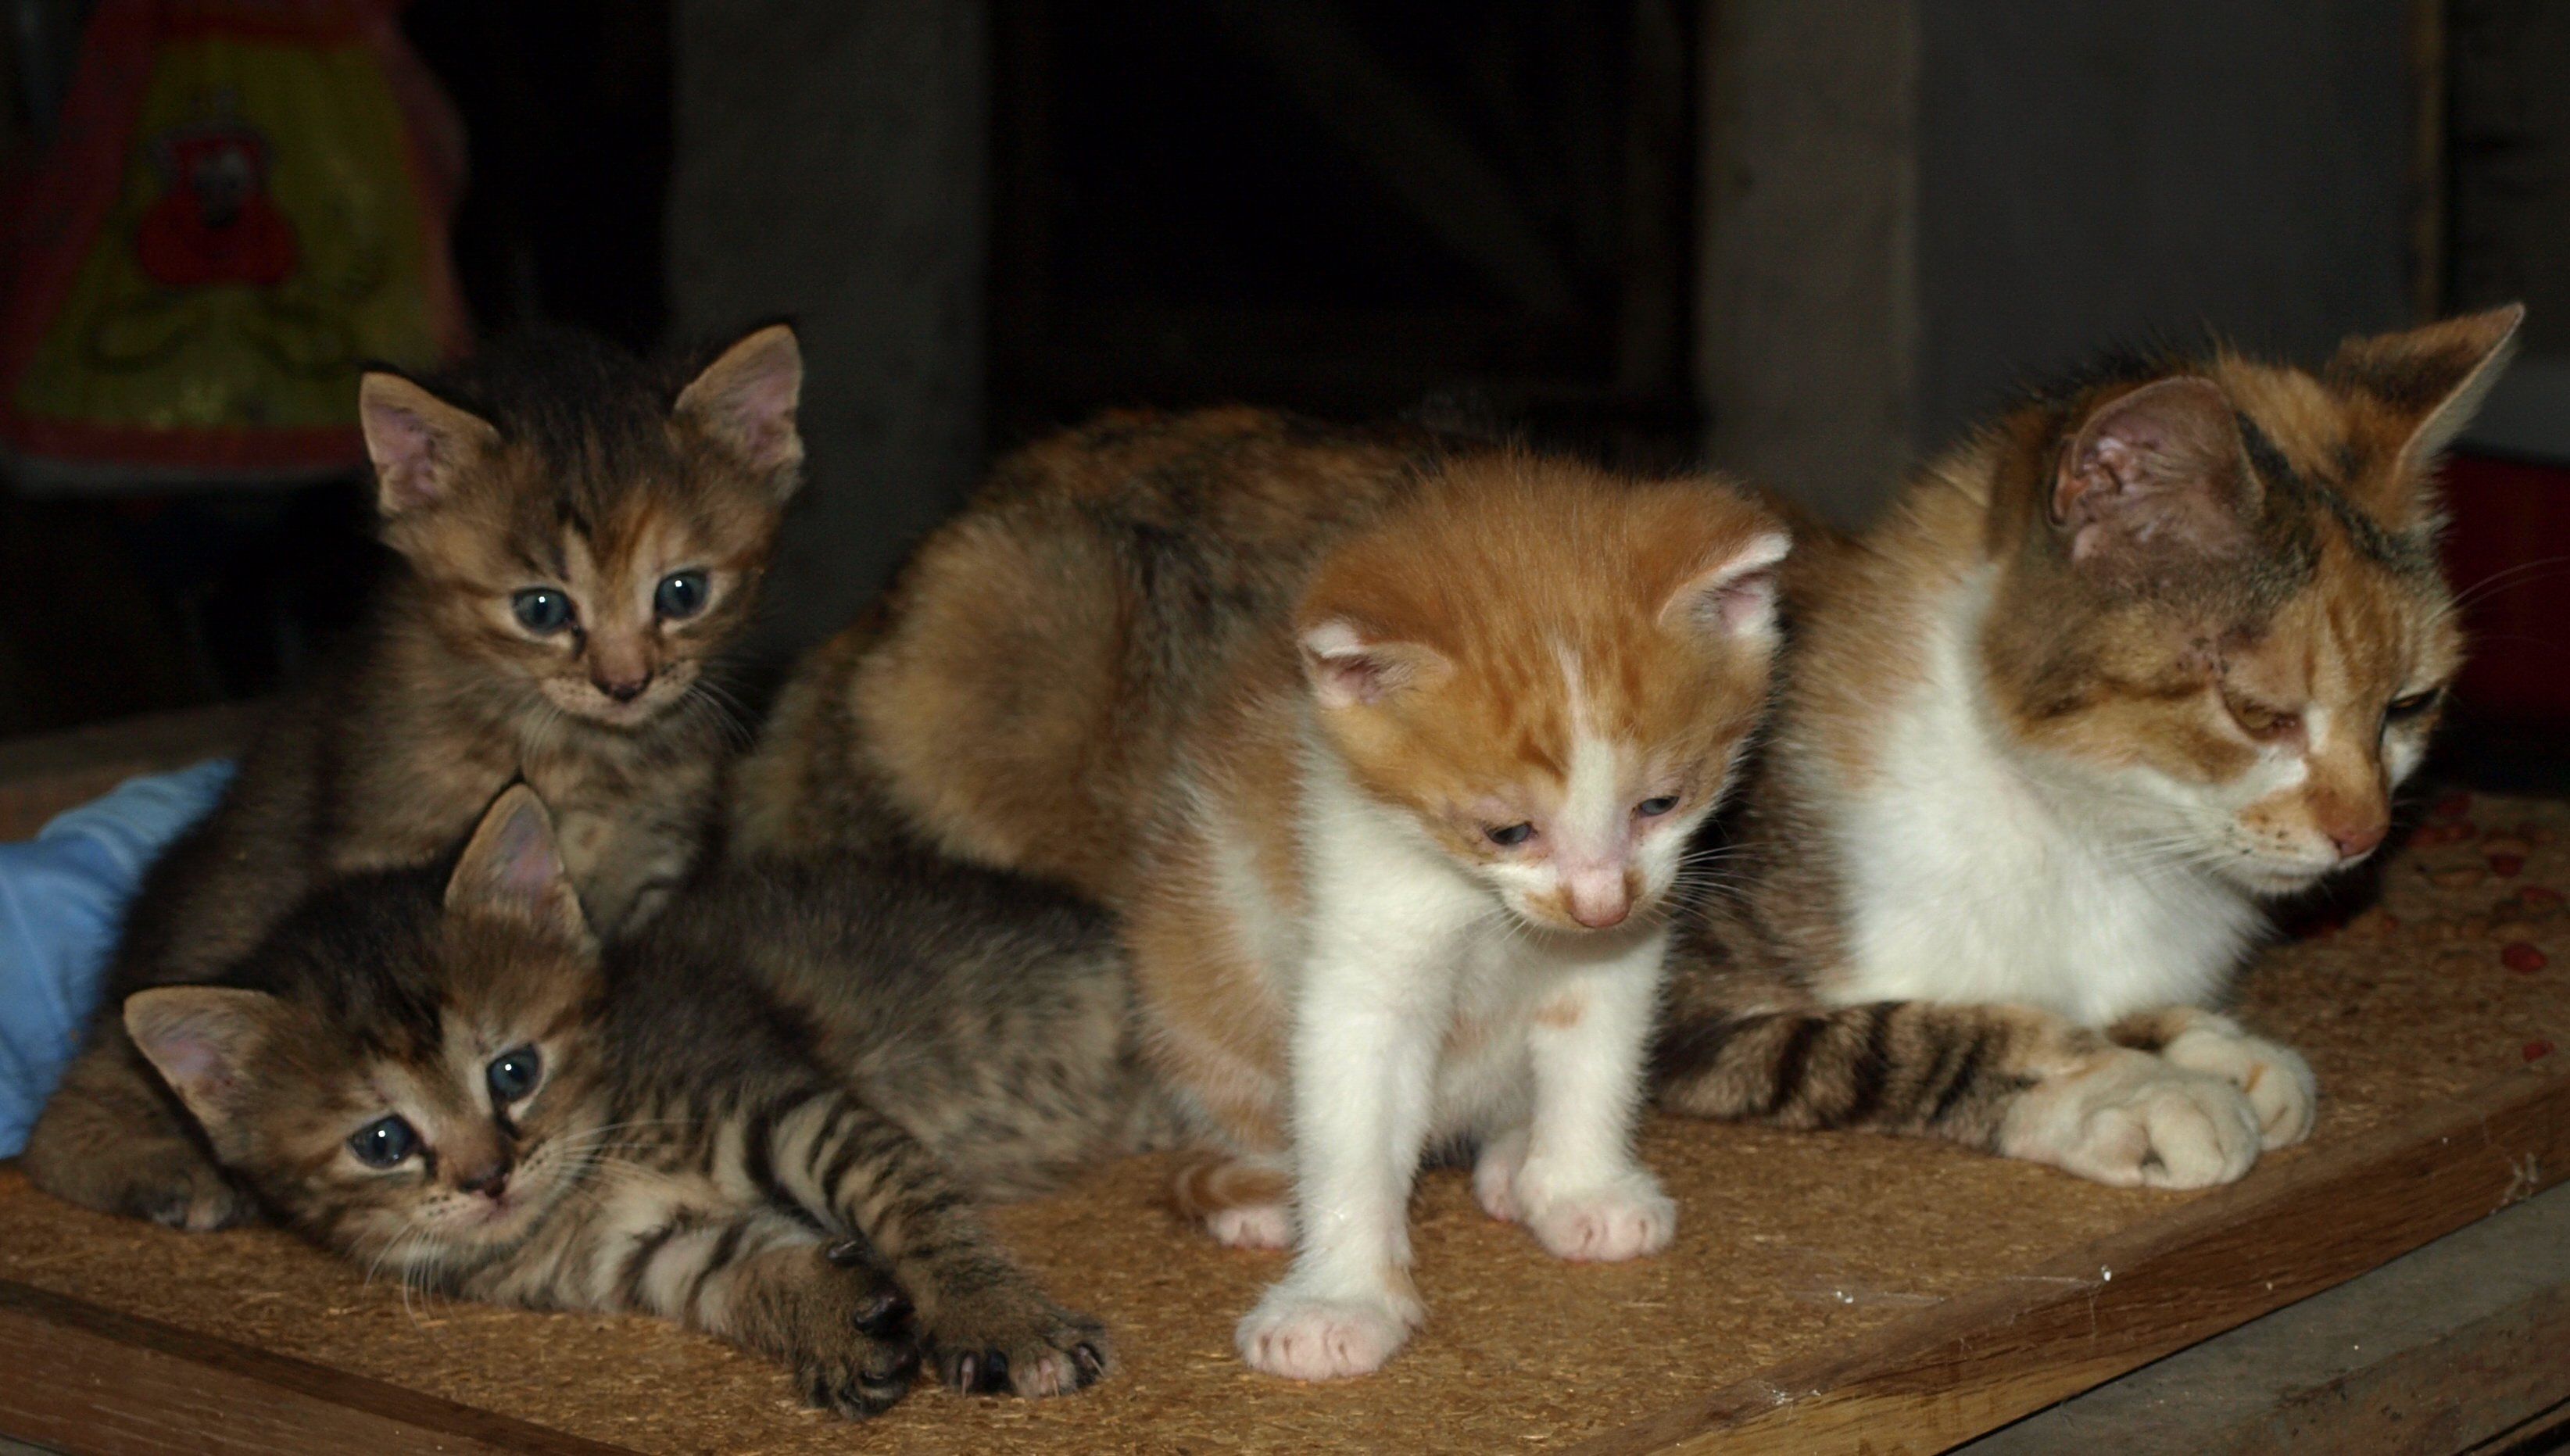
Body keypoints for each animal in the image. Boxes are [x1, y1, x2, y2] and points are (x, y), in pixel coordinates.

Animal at [22, 322, 801, 1232]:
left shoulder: (654, 872)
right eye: (541, 609)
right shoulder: (383, 845)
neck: (582, 753)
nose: (625, 683)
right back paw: (166, 1173)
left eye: (683, 592)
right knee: (55, 1124)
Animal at [125, 791, 1187, 1417]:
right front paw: (829, 1319)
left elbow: (913, 1208)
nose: (489, 1177)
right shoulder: (650, 1254)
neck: (595, 1168)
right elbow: (744, 1275)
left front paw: (998, 1320)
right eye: (383, 1140)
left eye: (511, 1072)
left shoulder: (790, 1104)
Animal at [765, 410, 1788, 1376]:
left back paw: (1510, 1154)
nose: (1599, 903)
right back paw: (1261, 1193)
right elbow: (1351, 1124)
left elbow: (1597, 1056)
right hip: (1188, 983)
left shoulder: (1621, 947)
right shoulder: (1361, 938)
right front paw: (1341, 1301)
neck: (1482, 907)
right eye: (1508, 831)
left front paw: (1579, 1186)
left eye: (1661, 803)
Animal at [1645, 304, 2529, 1186]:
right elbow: (1917, 1033)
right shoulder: (1684, 984)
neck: (2090, 834)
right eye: (2257, 712)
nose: (2365, 835)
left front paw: (2209, 1043)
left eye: (2409, 704)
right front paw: (2133, 1089)